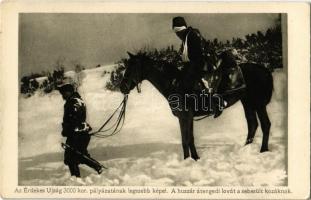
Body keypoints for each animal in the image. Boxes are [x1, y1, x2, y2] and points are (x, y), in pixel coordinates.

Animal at [120, 52, 274, 161]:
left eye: (131, 68)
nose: (122, 87)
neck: (175, 84)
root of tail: (264, 70)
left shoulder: (184, 117)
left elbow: (185, 140)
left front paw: (187, 160)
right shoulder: (188, 117)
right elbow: (190, 138)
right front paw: (195, 158)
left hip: (259, 104)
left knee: (265, 124)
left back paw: (263, 150)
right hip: (248, 103)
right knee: (252, 124)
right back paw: (246, 149)